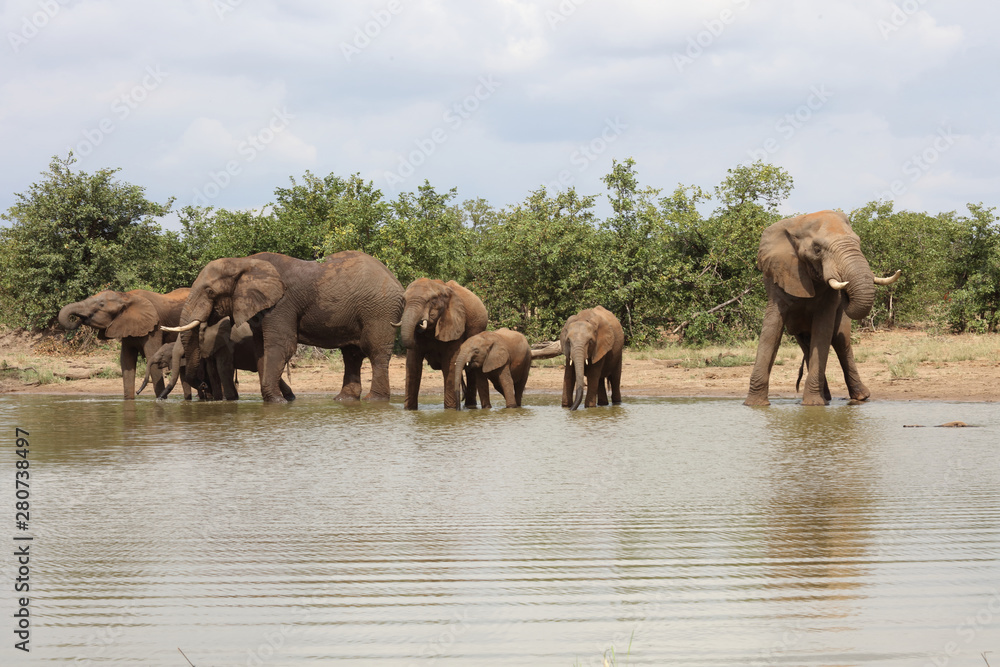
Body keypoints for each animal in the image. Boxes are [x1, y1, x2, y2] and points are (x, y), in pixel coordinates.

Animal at [58, 288, 191, 399]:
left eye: (101, 304)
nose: (80, 319)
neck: (126, 296)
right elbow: (126, 360)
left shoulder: (155, 327)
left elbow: (150, 356)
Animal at [161, 251, 403, 403]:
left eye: (210, 292)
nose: (204, 389)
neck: (243, 262)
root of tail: (395, 280)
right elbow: (261, 352)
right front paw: (276, 400)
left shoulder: (282, 304)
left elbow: (281, 346)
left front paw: (277, 402)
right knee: (351, 355)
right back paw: (344, 400)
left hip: (379, 310)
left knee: (376, 352)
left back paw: (375, 400)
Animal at [399, 278, 488, 410]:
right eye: (404, 301)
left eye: (430, 301)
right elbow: (413, 364)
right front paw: (409, 410)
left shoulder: (455, 324)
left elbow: (450, 363)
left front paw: (450, 410)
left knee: (470, 370)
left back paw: (470, 407)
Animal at [744, 210, 901, 406]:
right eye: (817, 249)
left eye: (858, 242)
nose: (846, 294)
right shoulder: (778, 277)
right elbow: (771, 331)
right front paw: (754, 405)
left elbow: (823, 330)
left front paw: (813, 405)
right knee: (806, 343)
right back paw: (826, 397)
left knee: (840, 341)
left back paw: (859, 397)